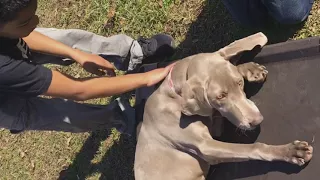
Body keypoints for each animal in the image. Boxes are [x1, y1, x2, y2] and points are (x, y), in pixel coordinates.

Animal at [134, 32, 314, 180]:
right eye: (220, 96)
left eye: (240, 83)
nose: (257, 120)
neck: (174, 96)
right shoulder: (206, 147)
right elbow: (252, 148)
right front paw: (291, 151)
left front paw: (250, 69)